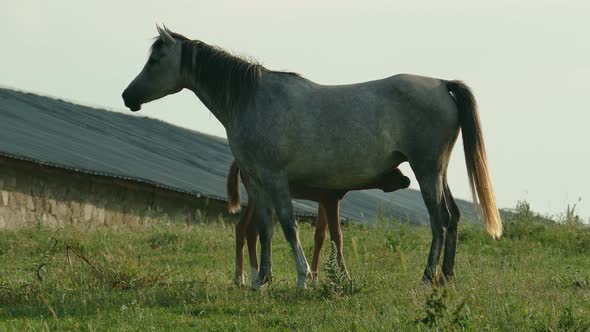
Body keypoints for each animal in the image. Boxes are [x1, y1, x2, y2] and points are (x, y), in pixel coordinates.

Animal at [227, 160, 412, 286]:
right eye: (389, 168)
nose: (407, 180)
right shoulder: (330, 199)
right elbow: (337, 236)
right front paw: (344, 277)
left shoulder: (323, 200)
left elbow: (320, 236)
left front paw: (315, 279)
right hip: (256, 193)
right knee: (247, 229)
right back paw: (244, 278)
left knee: (247, 230)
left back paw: (248, 277)